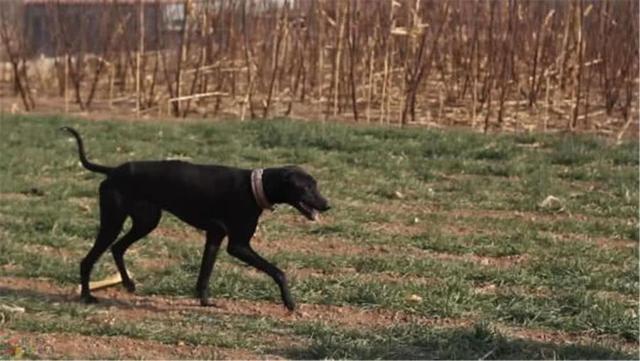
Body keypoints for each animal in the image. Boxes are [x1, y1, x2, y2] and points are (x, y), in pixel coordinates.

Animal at [62, 126, 330, 310]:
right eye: (306, 188)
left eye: (315, 185)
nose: (327, 205)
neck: (254, 187)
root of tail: (112, 171)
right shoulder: (238, 245)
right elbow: (278, 271)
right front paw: (289, 302)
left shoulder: (215, 237)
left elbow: (205, 274)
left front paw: (204, 301)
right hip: (113, 221)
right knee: (88, 259)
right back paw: (87, 296)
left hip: (146, 221)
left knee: (118, 248)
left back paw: (128, 284)